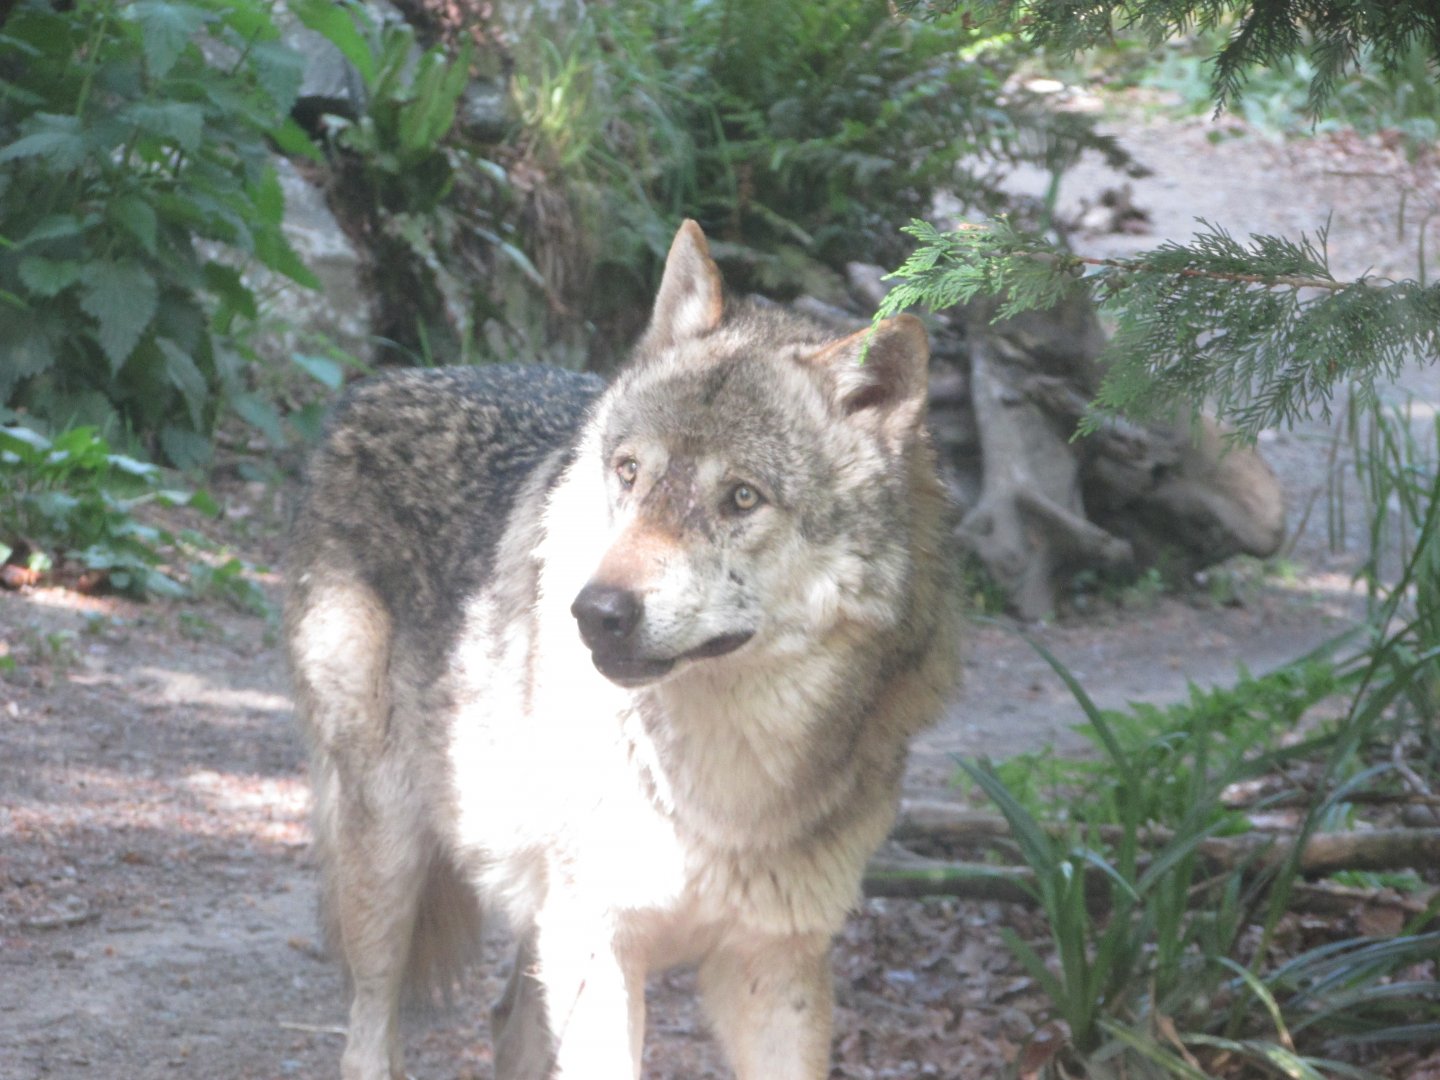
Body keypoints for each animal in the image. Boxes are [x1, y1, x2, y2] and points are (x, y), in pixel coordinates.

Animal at [285, 220, 963, 1080]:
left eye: (741, 498)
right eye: (630, 472)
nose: (595, 612)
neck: (722, 792)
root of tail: (379, 383)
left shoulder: (774, 962)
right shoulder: (598, 944)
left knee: (508, 1023)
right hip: (389, 856)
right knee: (368, 1036)